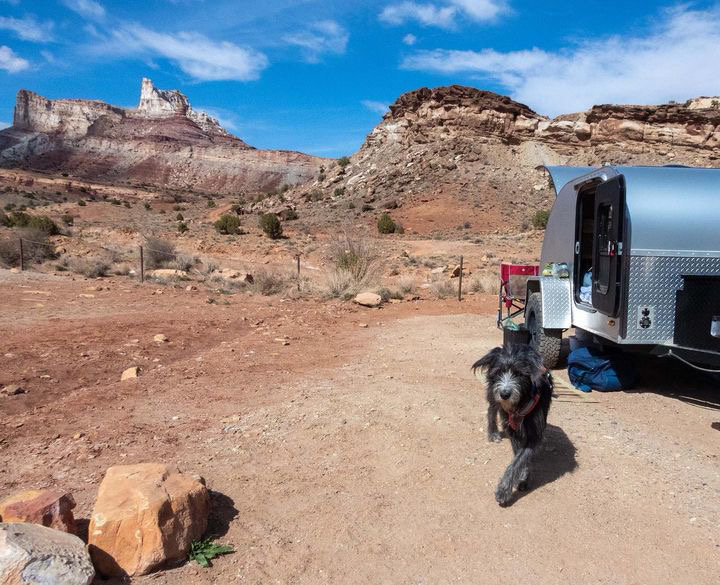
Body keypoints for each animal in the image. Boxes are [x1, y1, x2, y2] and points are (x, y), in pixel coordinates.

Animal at [470, 344, 556, 504]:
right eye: (499, 371)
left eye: (519, 374)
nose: (504, 394)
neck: (521, 403)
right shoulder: (513, 430)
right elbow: (518, 456)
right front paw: (511, 485)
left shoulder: (535, 434)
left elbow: (520, 459)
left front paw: (511, 484)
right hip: (493, 393)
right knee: (491, 409)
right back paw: (493, 432)